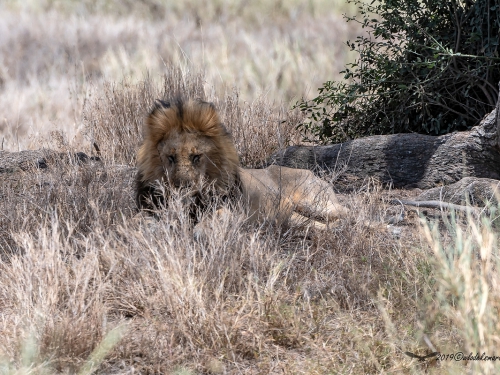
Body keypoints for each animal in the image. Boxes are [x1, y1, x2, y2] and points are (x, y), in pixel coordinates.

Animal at [136, 98, 348, 231]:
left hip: (313, 203)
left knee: (345, 212)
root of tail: (312, 173)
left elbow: (215, 217)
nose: (183, 188)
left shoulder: (233, 210)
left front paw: (202, 231)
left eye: (196, 157)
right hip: (292, 216)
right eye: (170, 158)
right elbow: (138, 221)